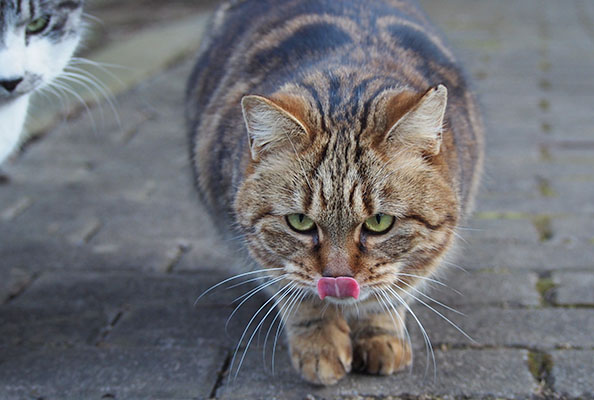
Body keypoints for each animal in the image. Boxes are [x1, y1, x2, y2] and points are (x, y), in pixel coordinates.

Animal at [185, 0, 480, 386]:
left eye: (380, 222)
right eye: (299, 221)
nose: (338, 279)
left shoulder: (426, 255)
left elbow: (391, 292)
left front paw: (381, 332)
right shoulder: (252, 244)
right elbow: (297, 295)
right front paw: (319, 344)